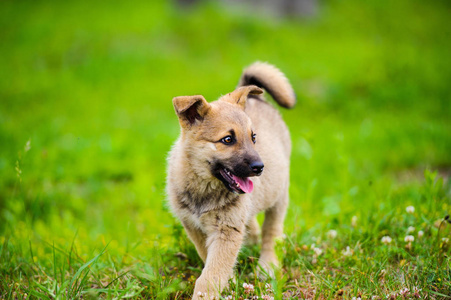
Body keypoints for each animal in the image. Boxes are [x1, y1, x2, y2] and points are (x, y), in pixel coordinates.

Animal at [168, 62, 294, 298]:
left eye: (253, 138)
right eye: (227, 140)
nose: (259, 167)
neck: (204, 186)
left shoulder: (226, 231)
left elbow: (210, 275)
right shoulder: (194, 227)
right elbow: (211, 262)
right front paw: (230, 281)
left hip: (279, 195)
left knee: (272, 231)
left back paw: (268, 265)